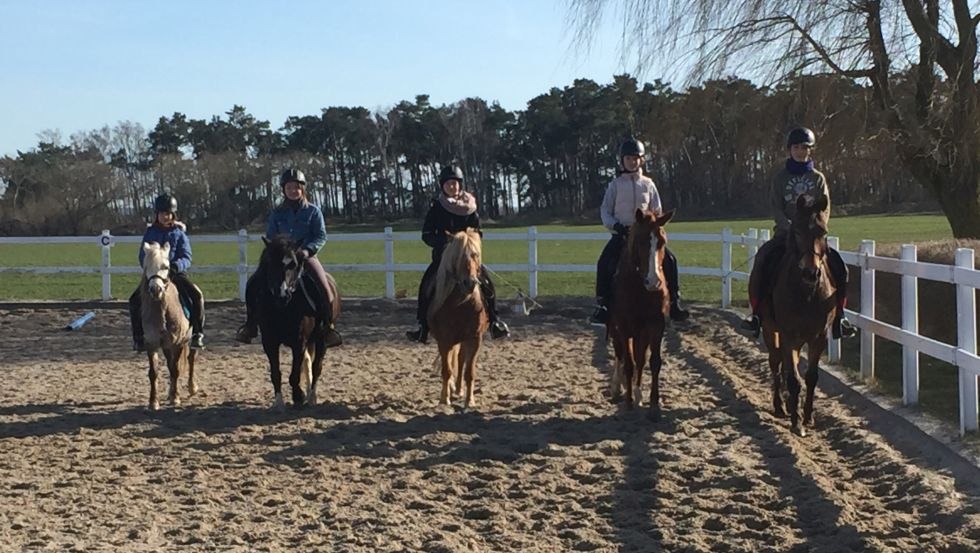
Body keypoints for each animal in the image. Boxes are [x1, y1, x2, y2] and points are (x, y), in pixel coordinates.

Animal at [139, 242, 198, 410]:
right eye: (146, 266)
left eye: (166, 266)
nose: (155, 290)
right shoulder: (152, 343)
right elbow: (154, 372)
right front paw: (153, 401)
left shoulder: (177, 342)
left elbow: (175, 369)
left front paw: (175, 397)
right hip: (166, 345)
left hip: (189, 340)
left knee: (191, 358)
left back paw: (191, 387)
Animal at [255, 235, 342, 408]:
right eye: (270, 262)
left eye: (293, 264)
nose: (282, 294)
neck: (283, 309)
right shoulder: (269, 342)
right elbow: (275, 373)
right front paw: (278, 403)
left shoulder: (299, 342)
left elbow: (294, 375)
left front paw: (298, 396)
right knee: (308, 363)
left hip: (321, 339)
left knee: (316, 367)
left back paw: (312, 397)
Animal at [428, 226, 490, 408]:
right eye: (458, 257)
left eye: (475, 255)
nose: (470, 283)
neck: (461, 303)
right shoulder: (444, 340)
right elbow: (446, 369)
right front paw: (444, 399)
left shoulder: (475, 338)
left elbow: (469, 371)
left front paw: (470, 400)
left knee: (461, 359)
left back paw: (458, 389)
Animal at [604, 207, 672, 418]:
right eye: (641, 241)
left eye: (662, 242)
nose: (654, 282)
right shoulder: (624, 327)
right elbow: (628, 363)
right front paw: (628, 403)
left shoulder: (656, 325)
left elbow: (653, 362)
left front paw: (653, 406)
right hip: (616, 328)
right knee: (620, 354)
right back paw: (617, 388)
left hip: (641, 333)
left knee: (640, 360)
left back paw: (637, 393)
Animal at [760, 194, 840, 436]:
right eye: (796, 231)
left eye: (823, 232)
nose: (811, 273)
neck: (807, 293)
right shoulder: (788, 336)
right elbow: (794, 379)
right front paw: (796, 423)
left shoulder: (819, 337)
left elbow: (811, 377)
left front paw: (808, 417)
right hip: (770, 330)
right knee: (775, 363)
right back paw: (780, 405)